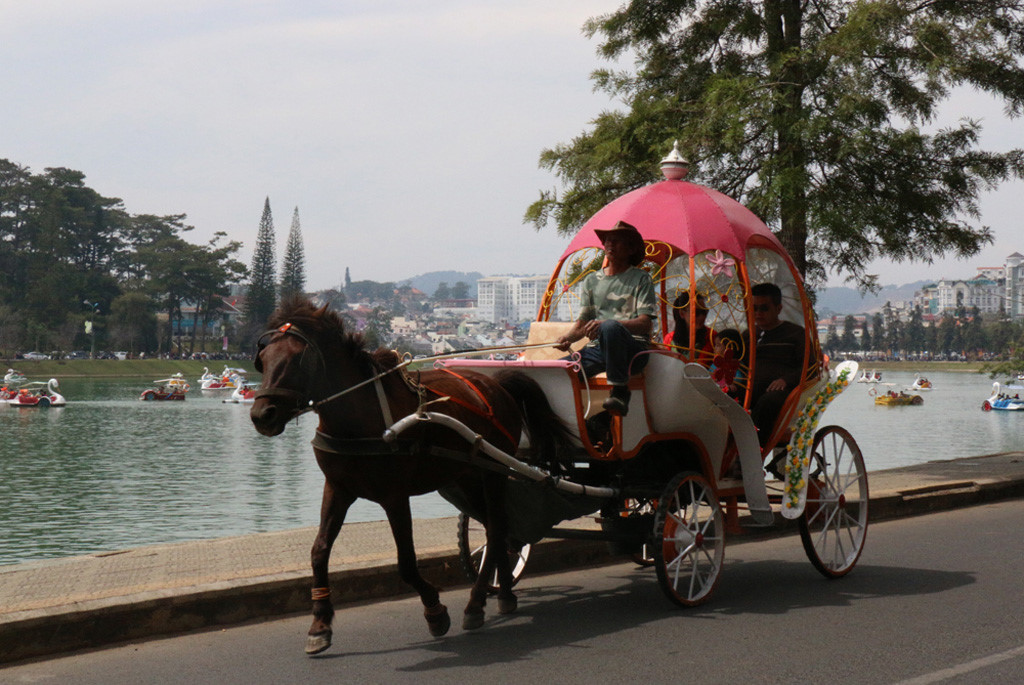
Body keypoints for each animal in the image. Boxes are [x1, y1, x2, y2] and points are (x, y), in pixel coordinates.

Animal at [247, 296, 569, 655]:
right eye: (263, 359)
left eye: (297, 360)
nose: (262, 415)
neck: (360, 417)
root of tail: (496, 384)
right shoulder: (338, 488)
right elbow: (318, 552)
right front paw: (319, 623)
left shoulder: (394, 495)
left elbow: (406, 562)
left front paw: (435, 611)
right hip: (466, 474)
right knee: (496, 528)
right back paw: (505, 593)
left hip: (493, 472)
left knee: (497, 528)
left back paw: (475, 603)